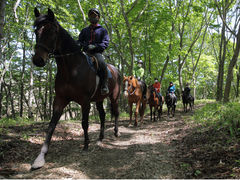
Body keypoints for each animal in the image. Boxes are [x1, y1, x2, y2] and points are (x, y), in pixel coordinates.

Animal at [31, 7, 122, 169]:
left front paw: (85, 145)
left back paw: (116, 133)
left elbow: (84, 123)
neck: (71, 69)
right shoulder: (59, 100)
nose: (38, 60)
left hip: (114, 97)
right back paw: (100, 138)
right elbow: (51, 126)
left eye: (51, 31)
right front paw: (41, 157)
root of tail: (116, 70)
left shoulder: (85, 102)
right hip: (99, 99)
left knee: (116, 113)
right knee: (103, 115)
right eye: (36, 31)